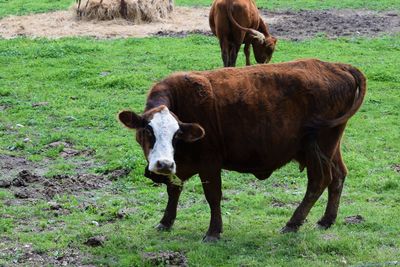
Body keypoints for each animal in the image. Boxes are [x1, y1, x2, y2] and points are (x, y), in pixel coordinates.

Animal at [118, 59, 366, 243]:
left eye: (176, 134)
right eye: (147, 131)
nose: (163, 164)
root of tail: (338, 66)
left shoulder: (209, 163)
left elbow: (213, 196)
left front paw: (213, 231)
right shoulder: (179, 164)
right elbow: (173, 190)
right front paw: (166, 221)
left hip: (318, 147)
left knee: (319, 180)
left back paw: (293, 223)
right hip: (331, 145)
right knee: (338, 176)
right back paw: (327, 220)